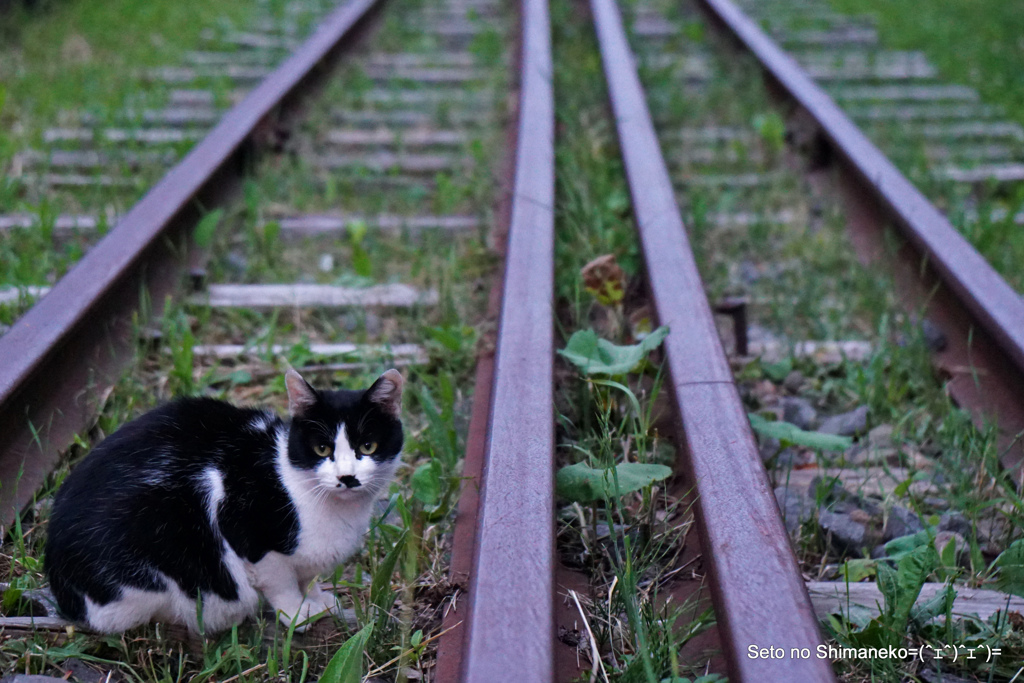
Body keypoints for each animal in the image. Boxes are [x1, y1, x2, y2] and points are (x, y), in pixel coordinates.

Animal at [45, 370, 403, 634]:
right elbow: (282, 584)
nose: (347, 477)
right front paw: (298, 615)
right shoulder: (245, 531)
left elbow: (306, 578)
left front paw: (319, 601)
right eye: (322, 449)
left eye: (368, 446)